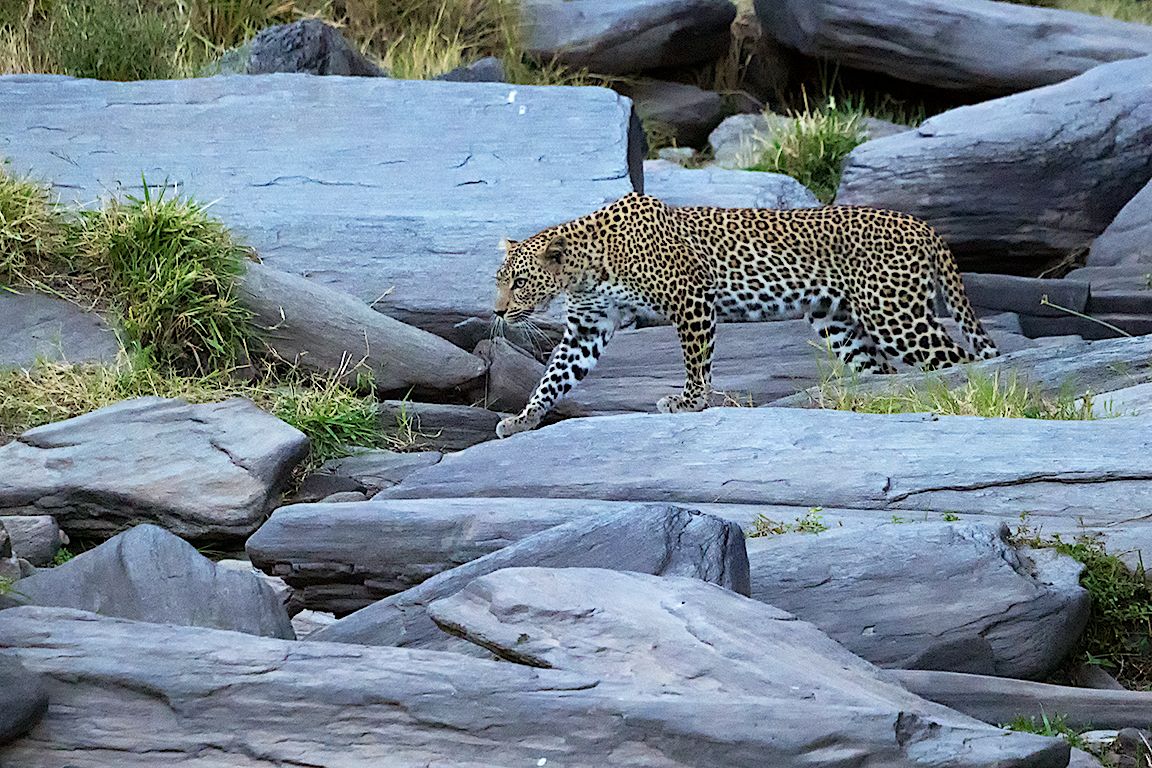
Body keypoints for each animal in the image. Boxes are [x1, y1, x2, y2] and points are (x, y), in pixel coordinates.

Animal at [492, 192, 998, 438]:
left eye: (519, 282)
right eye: (499, 280)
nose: (496, 311)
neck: (585, 268)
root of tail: (924, 225)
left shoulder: (691, 300)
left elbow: (697, 362)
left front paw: (689, 402)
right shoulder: (586, 329)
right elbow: (553, 377)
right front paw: (523, 420)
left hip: (896, 316)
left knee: (962, 361)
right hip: (840, 325)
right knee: (888, 372)